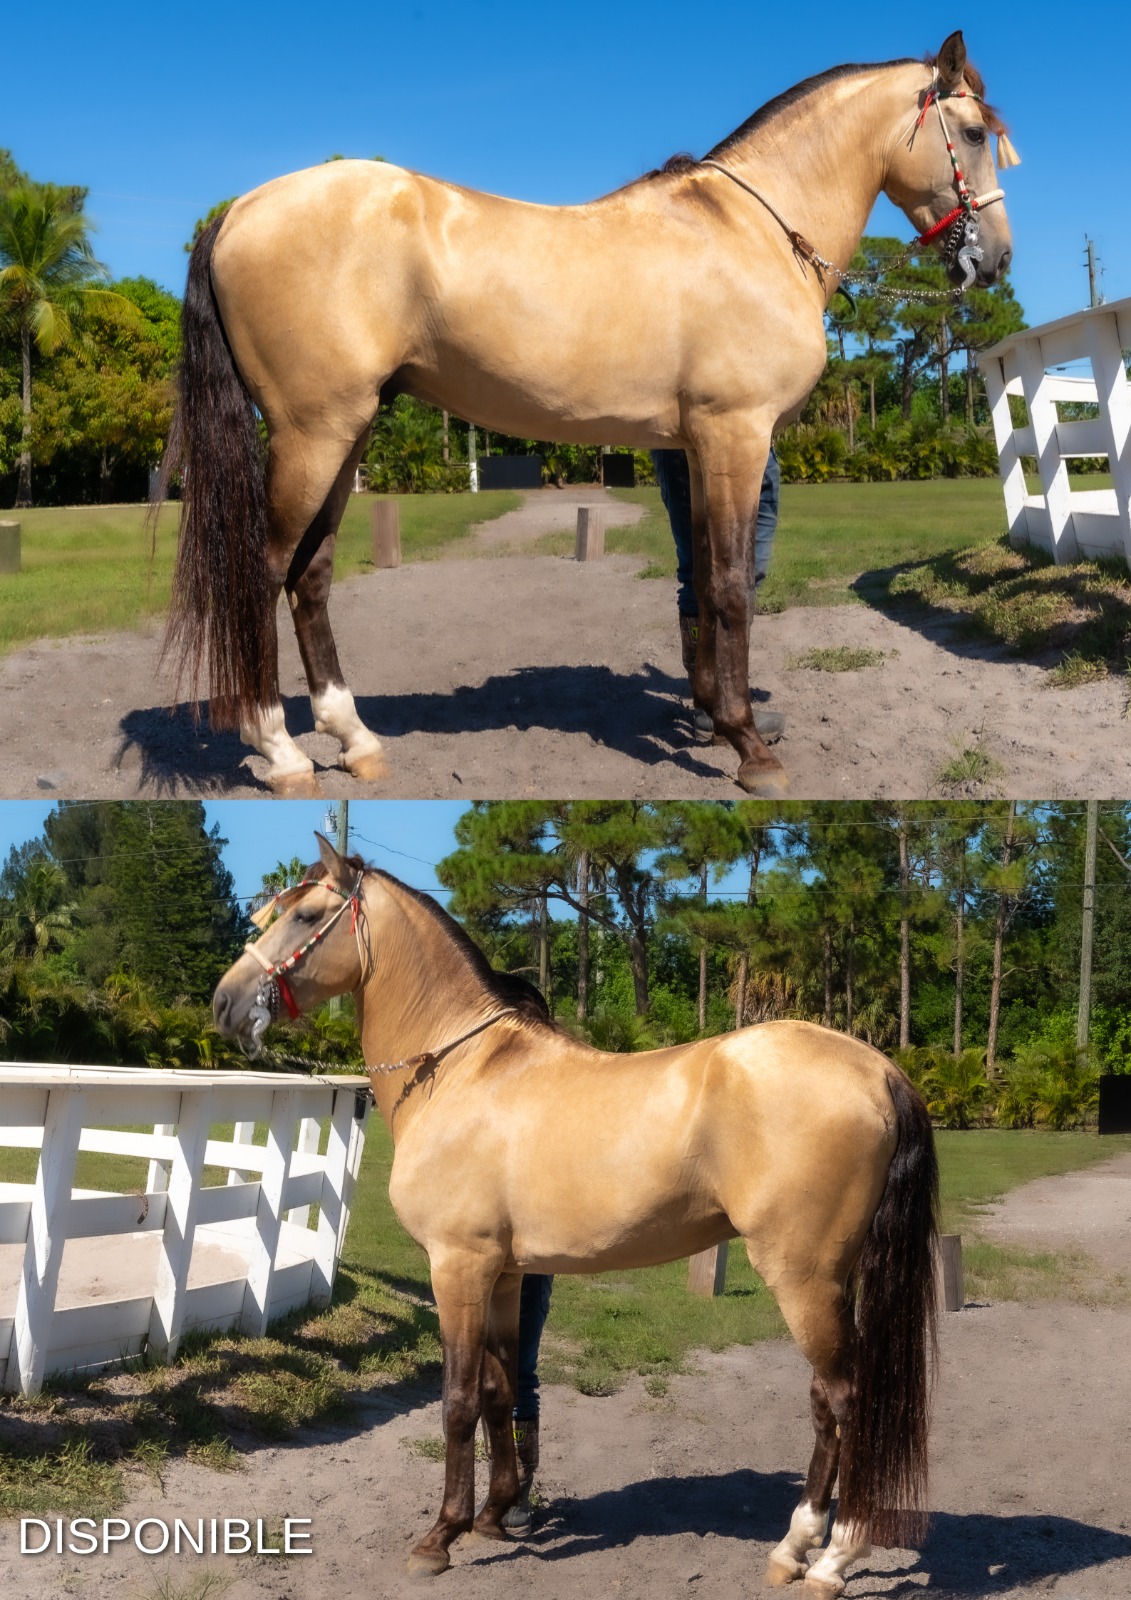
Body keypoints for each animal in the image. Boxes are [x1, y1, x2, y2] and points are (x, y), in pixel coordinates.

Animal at [163, 31, 1014, 799]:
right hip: (314, 434)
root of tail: (238, 212)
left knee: (310, 575)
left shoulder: (695, 449)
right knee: (263, 571)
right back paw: (280, 751)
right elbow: (731, 587)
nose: (995, 261)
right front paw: (748, 748)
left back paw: (355, 741)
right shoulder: (733, 436)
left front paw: (713, 718)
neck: (751, 232)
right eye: (973, 133)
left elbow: (700, 584)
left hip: (349, 433)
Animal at [212, 835, 940, 1596]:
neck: (465, 1070)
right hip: (832, 1280)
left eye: (307, 916)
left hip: (803, 1279)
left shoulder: (457, 1267)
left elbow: (458, 1400)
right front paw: (496, 1513)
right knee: (833, 1402)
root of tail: (878, 1070)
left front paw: (441, 1535)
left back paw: (828, 1557)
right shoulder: (503, 1276)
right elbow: (501, 1391)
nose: (223, 1003)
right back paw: (797, 1548)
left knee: (847, 1400)